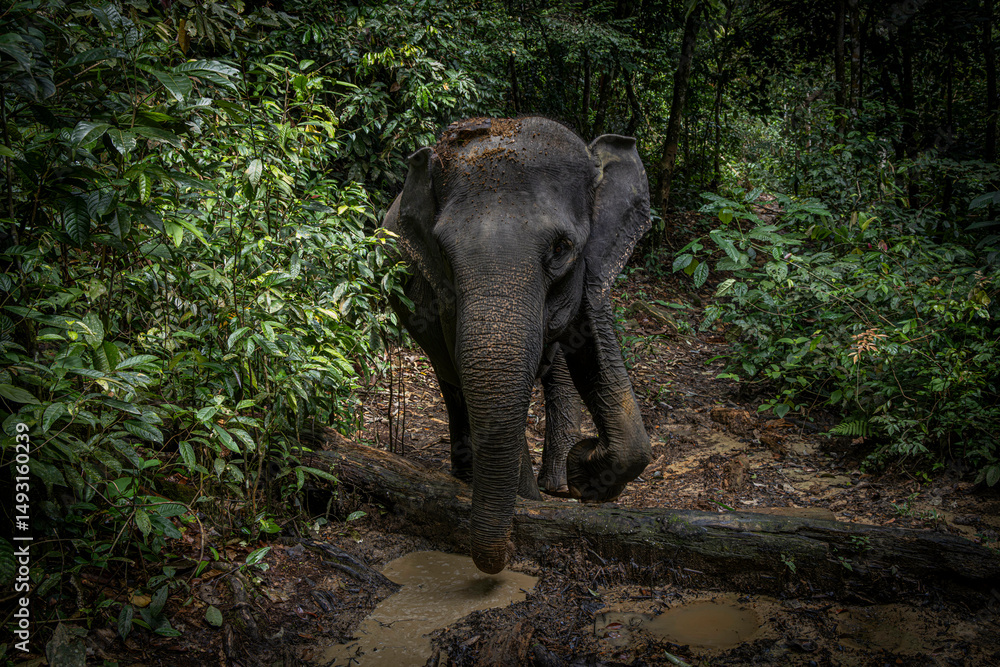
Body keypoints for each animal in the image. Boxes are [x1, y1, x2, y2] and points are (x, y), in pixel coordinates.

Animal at [382, 116, 652, 574]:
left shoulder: (594, 268)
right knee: (451, 383)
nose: (508, 550)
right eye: (443, 253)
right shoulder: (443, 296)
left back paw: (556, 481)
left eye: (562, 248)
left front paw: (578, 474)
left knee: (554, 365)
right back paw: (469, 477)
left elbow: (595, 358)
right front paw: (530, 503)